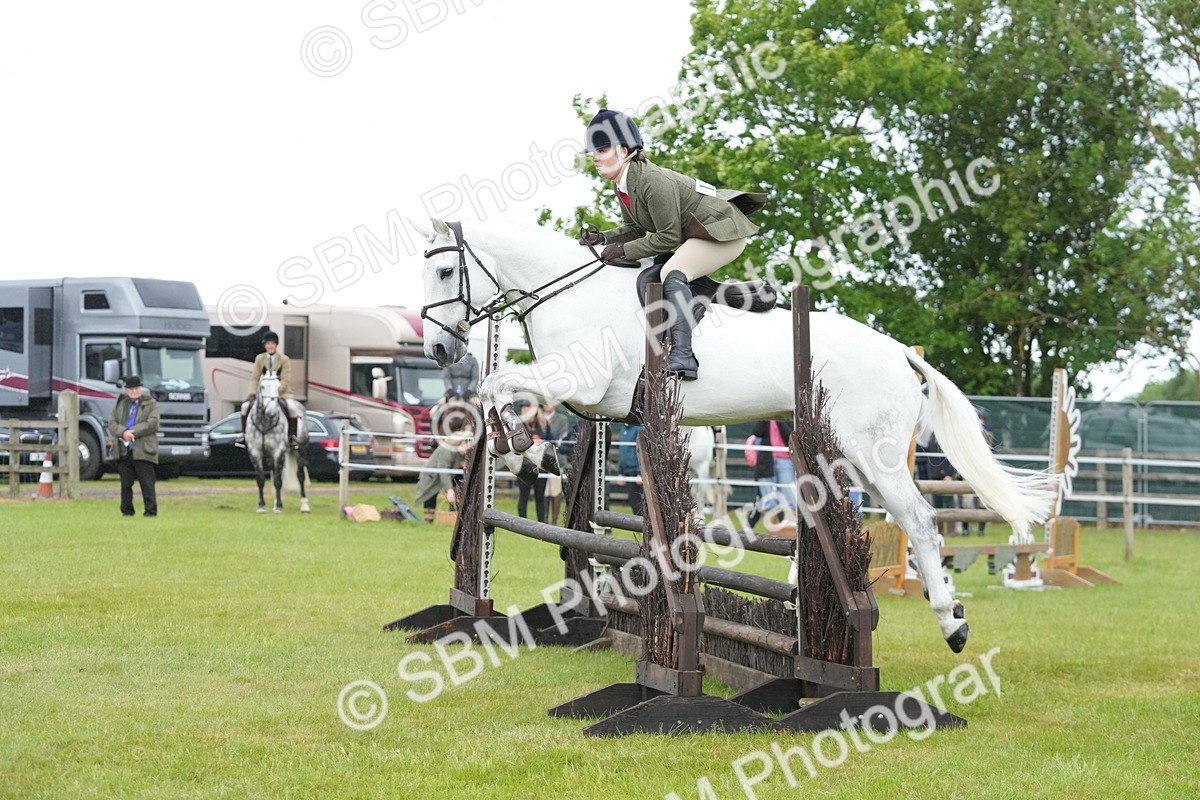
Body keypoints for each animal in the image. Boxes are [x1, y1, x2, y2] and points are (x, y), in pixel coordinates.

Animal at [246, 372, 310, 514]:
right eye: (262, 386)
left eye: (278, 387)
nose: (271, 412)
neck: (264, 422)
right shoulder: (255, 453)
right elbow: (261, 479)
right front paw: (261, 506)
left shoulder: (278, 451)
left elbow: (278, 480)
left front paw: (280, 507)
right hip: (271, 456)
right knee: (276, 472)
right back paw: (275, 503)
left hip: (301, 450)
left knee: (300, 476)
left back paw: (304, 506)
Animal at [416, 218, 1057, 653]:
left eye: (446, 270)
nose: (440, 350)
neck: (569, 292)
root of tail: (897, 349)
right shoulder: (585, 397)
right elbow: (498, 392)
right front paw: (529, 453)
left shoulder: (584, 382)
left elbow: (496, 380)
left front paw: (525, 450)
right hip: (839, 453)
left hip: (871, 454)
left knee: (919, 520)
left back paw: (952, 622)